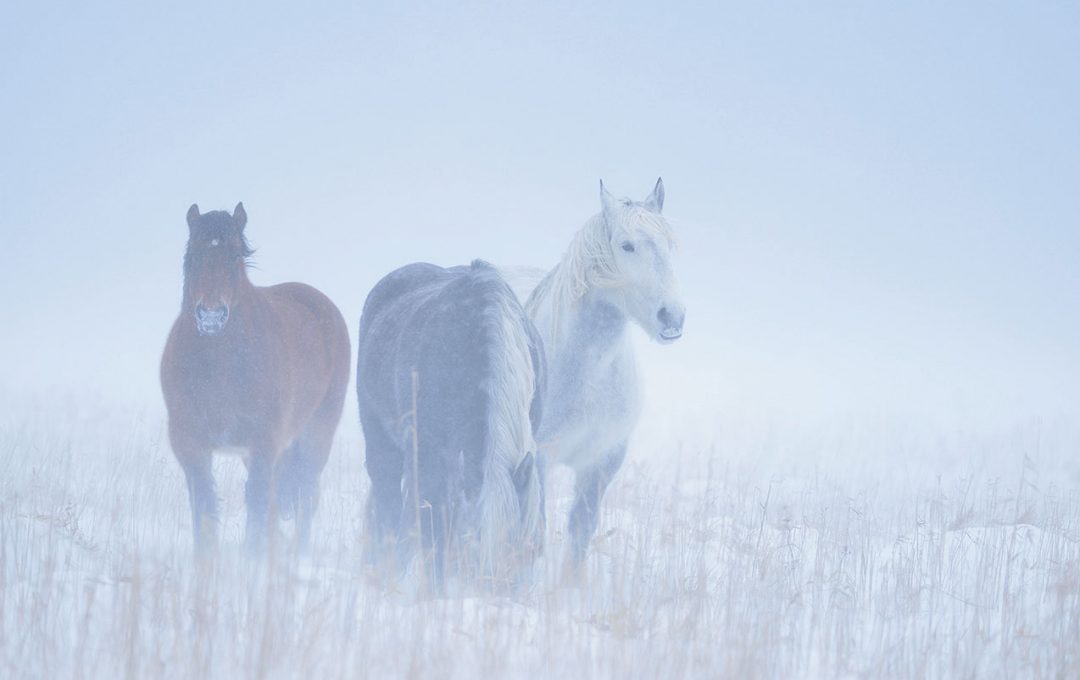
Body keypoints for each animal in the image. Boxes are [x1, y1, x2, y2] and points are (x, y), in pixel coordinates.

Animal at [159, 202, 349, 552]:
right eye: (194, 253)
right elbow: (204, 504)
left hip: (316, 433)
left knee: (305, 492)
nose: (211, 315)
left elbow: (257, 505)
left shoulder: (264, 441)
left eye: (235, 255)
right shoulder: (190, 443)